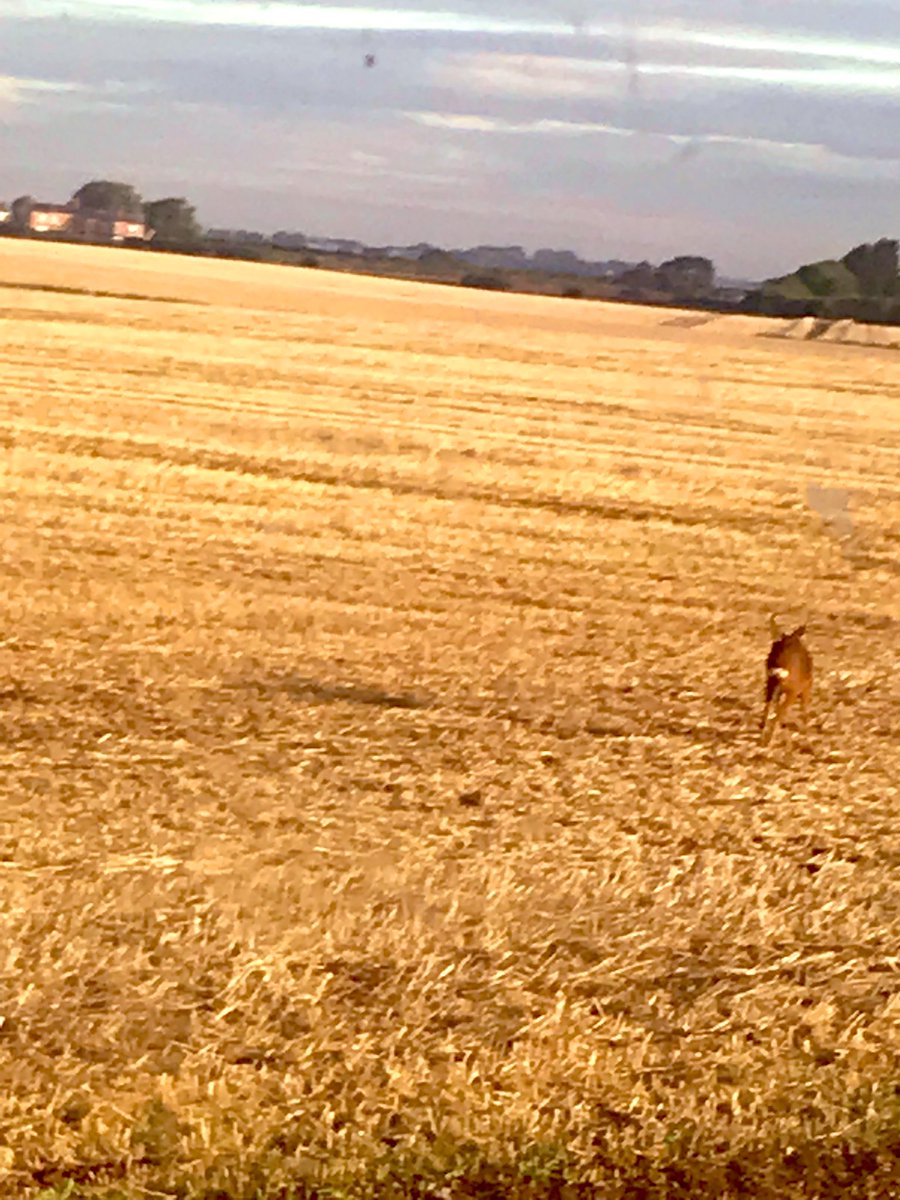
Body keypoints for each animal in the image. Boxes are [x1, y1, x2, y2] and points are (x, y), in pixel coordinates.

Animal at [760, 617, 813, 746]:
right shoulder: (805, 687)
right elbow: (805, 709)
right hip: (792, 691)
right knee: (778, 713)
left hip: (771, 685)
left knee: (768, 711)